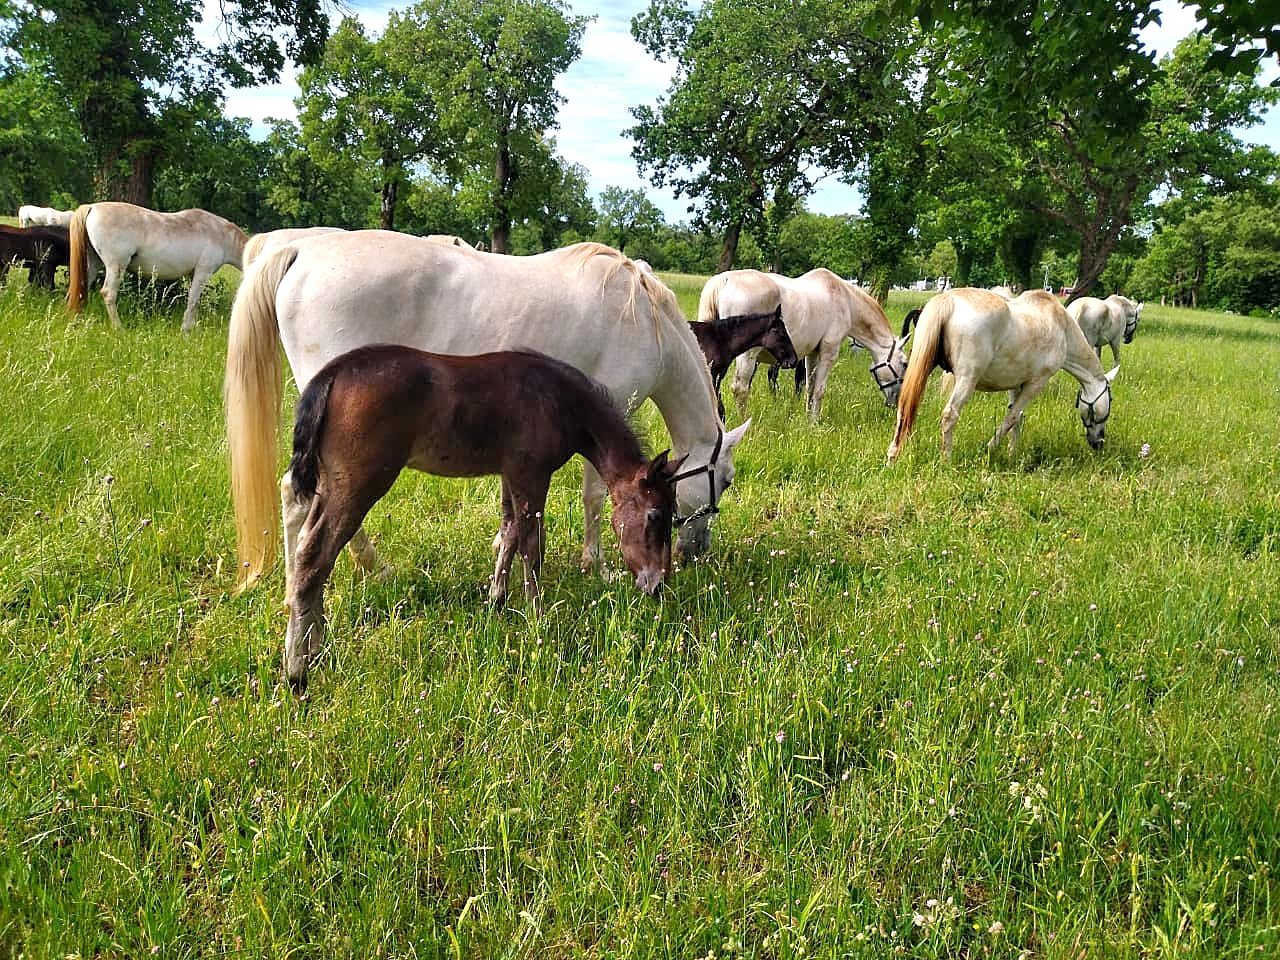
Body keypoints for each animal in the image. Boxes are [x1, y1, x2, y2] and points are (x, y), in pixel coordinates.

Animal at [65, 202, 247, 330]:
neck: (221, 234)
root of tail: (92, 207)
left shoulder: (193, 275)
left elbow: (194, 302)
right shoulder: (203, 272)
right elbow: (193, 301)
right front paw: (186, 331)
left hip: (93, 265)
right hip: (116, 266)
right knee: (108, 293)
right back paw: (119, 329)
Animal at [226, 232, 749, 592]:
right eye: (723, 481)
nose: (697, 552)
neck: (641, 314)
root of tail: (300, 249)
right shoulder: (612, 407)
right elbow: (597, 496)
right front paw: (596, 566)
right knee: (303, 496)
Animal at [281, 344, 684, 690]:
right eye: (654, 515)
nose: (658, 585)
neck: (559, 401)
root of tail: (332, 374)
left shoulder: (509, 474)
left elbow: (509, 533)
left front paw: (496, 601)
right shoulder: (530, 474)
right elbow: (531, 545)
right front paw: (538, 619)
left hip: (331, 486)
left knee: (308, 549)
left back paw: (313, 647)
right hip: (359, 484)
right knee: (315, 555)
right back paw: (297, 670)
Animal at [701, 269, 908, 420]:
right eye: (905, 363)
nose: (896, 400)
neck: (845, 300)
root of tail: (723, 280)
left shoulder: (812, 354)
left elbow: (809, 386)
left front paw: (807, 419)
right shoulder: (828, 352)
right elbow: (819, 390)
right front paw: (815, 423)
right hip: (748, 356)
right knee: (740, 388)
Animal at [887, 288, 1119, 462]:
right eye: (1110, 401)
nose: (1099, 442)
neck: (1062, 327)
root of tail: (948, 300)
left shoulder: (1017, 384)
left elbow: (1017, 417)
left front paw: (1012, 453)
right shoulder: (1036, 383)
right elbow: (1012, 417)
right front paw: (990, 449)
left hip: (920, 368)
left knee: (904, 408)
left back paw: (892, 456)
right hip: (967, 380)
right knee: (950, 415)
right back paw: (947, 460)